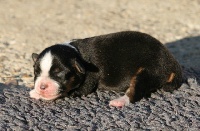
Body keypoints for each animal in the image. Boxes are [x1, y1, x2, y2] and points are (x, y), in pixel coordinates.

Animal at [30, 31, 183, 107]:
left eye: (59, 73)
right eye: (36, 72)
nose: (42, 87)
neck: (77, 54)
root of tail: (171, 61)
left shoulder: (87, 82)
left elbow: (67, 92)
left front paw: (36, 94)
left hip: (148, 71)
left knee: (135, 92)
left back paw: (119, 101)